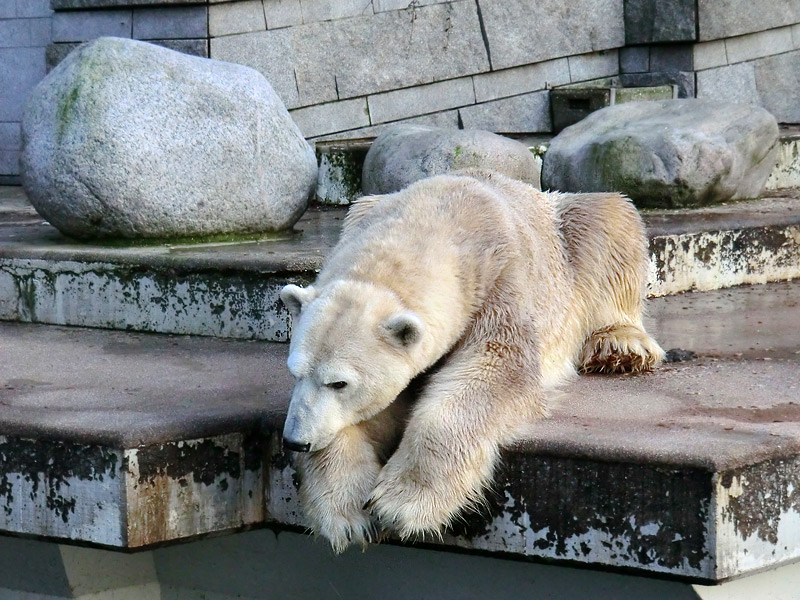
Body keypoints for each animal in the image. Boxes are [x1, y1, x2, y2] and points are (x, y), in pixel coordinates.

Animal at [282, 169, 664, 552]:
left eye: (339, 382)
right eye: (295, 373)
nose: (294, 441)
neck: (434, 218)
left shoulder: (499, 282)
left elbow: (492, 370)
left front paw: (400, 505)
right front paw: (346, 514)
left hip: (569, 238)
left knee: (607, 220)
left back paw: (619, 347)